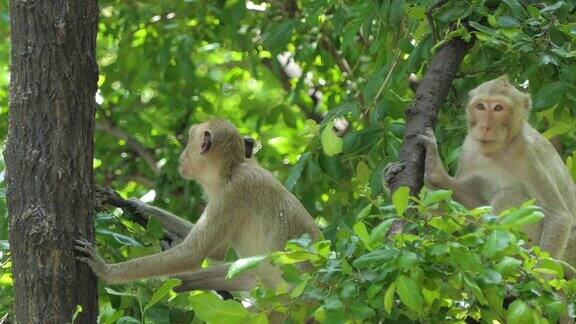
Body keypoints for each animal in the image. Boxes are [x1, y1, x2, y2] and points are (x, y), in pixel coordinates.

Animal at [73, 119, 320, 294]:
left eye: (189, 144)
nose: (182, 156)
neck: (232, 169)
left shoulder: (232, 195)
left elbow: (193, 254)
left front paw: (105, 269)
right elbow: (217, 252)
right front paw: (135, 206)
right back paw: (177, 279)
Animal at [416, 74, 576, 268]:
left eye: (498, 108)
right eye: (481, 106)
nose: (485, 126)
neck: (500, 150)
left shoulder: (529, 155)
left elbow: (559, 215)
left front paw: (539, 273)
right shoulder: (469, 149)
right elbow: (473, 206)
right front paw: (434, 170)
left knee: (509, 195)